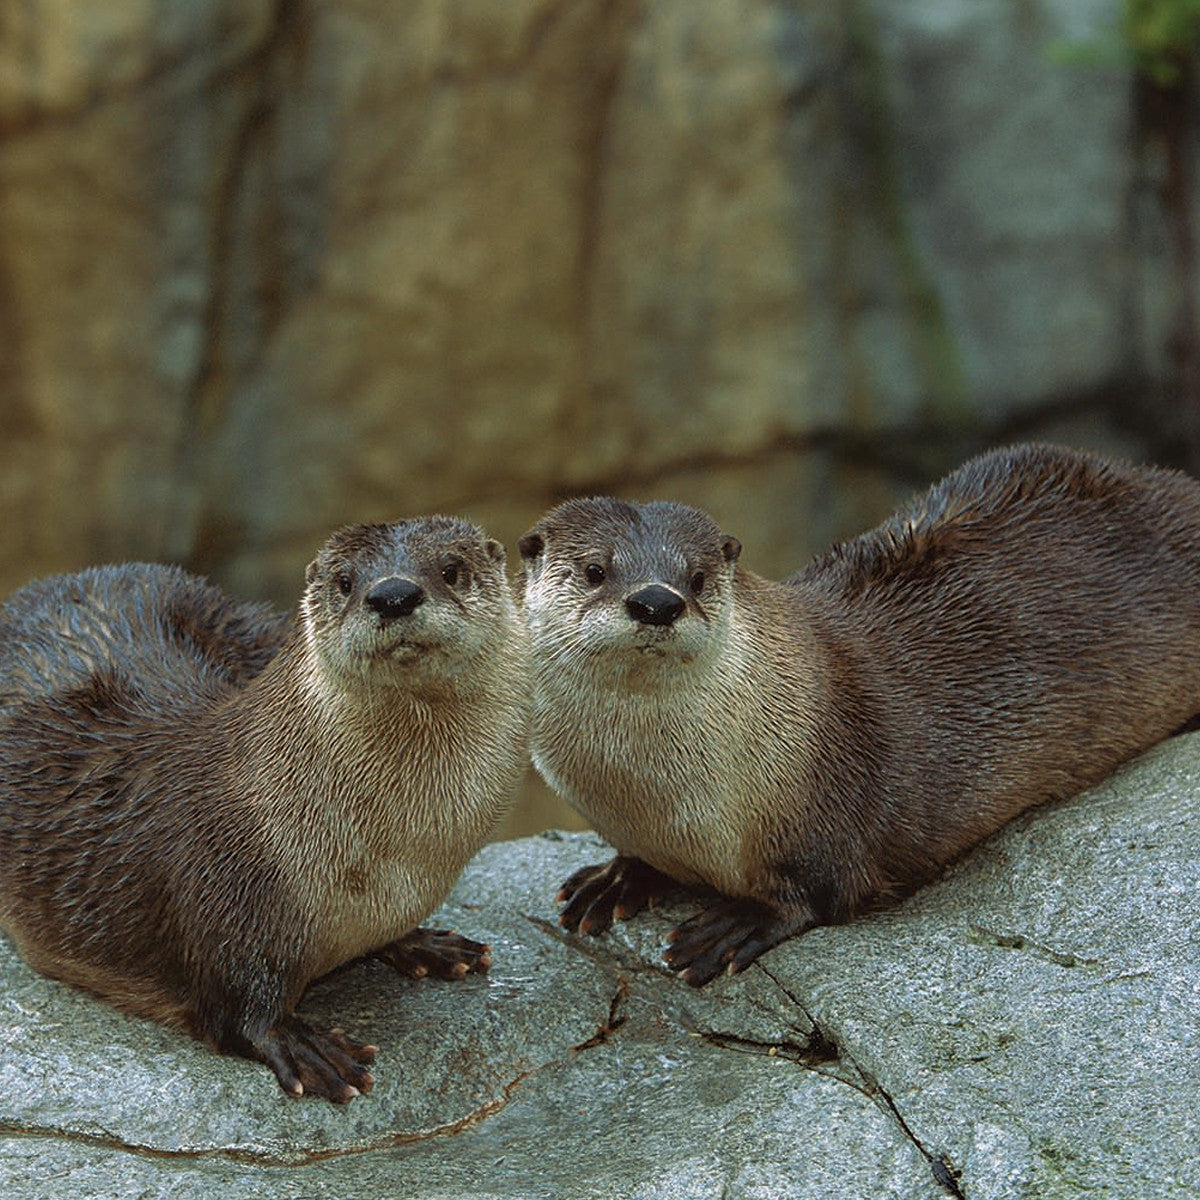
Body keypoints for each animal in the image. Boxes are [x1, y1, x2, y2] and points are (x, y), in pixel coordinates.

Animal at [0, 516, 530, 1099]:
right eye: (345, 582)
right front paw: (303, 1047)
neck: (395, 859)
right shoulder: (222, 886)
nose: (392, 594)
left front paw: (422, 944)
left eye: (451, 570)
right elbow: (234, 1007)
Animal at [520, 448, 1200, 984]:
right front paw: (616, 878)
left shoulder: (834, 805)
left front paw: (736, 925)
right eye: (594, 570)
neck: (652, 797)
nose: (657, 602)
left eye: (698, 577)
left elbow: (825, 891)